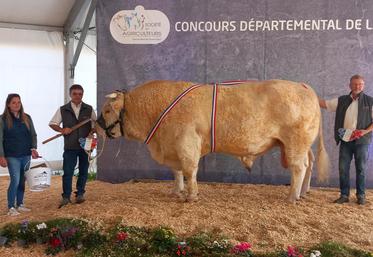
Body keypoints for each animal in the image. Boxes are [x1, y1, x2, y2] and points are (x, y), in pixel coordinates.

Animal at [96, 80, 328, 202]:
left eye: (107, 110)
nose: (96, 126)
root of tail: (304, 87)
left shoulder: (186, 142)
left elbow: (189, 170)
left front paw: (191, 196)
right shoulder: (173, 146)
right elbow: (177, 172)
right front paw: (176, 191)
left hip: (296, 142)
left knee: (299, 167)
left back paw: (292, 196)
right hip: (301, 144)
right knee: (308, 164)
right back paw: (303, 192)